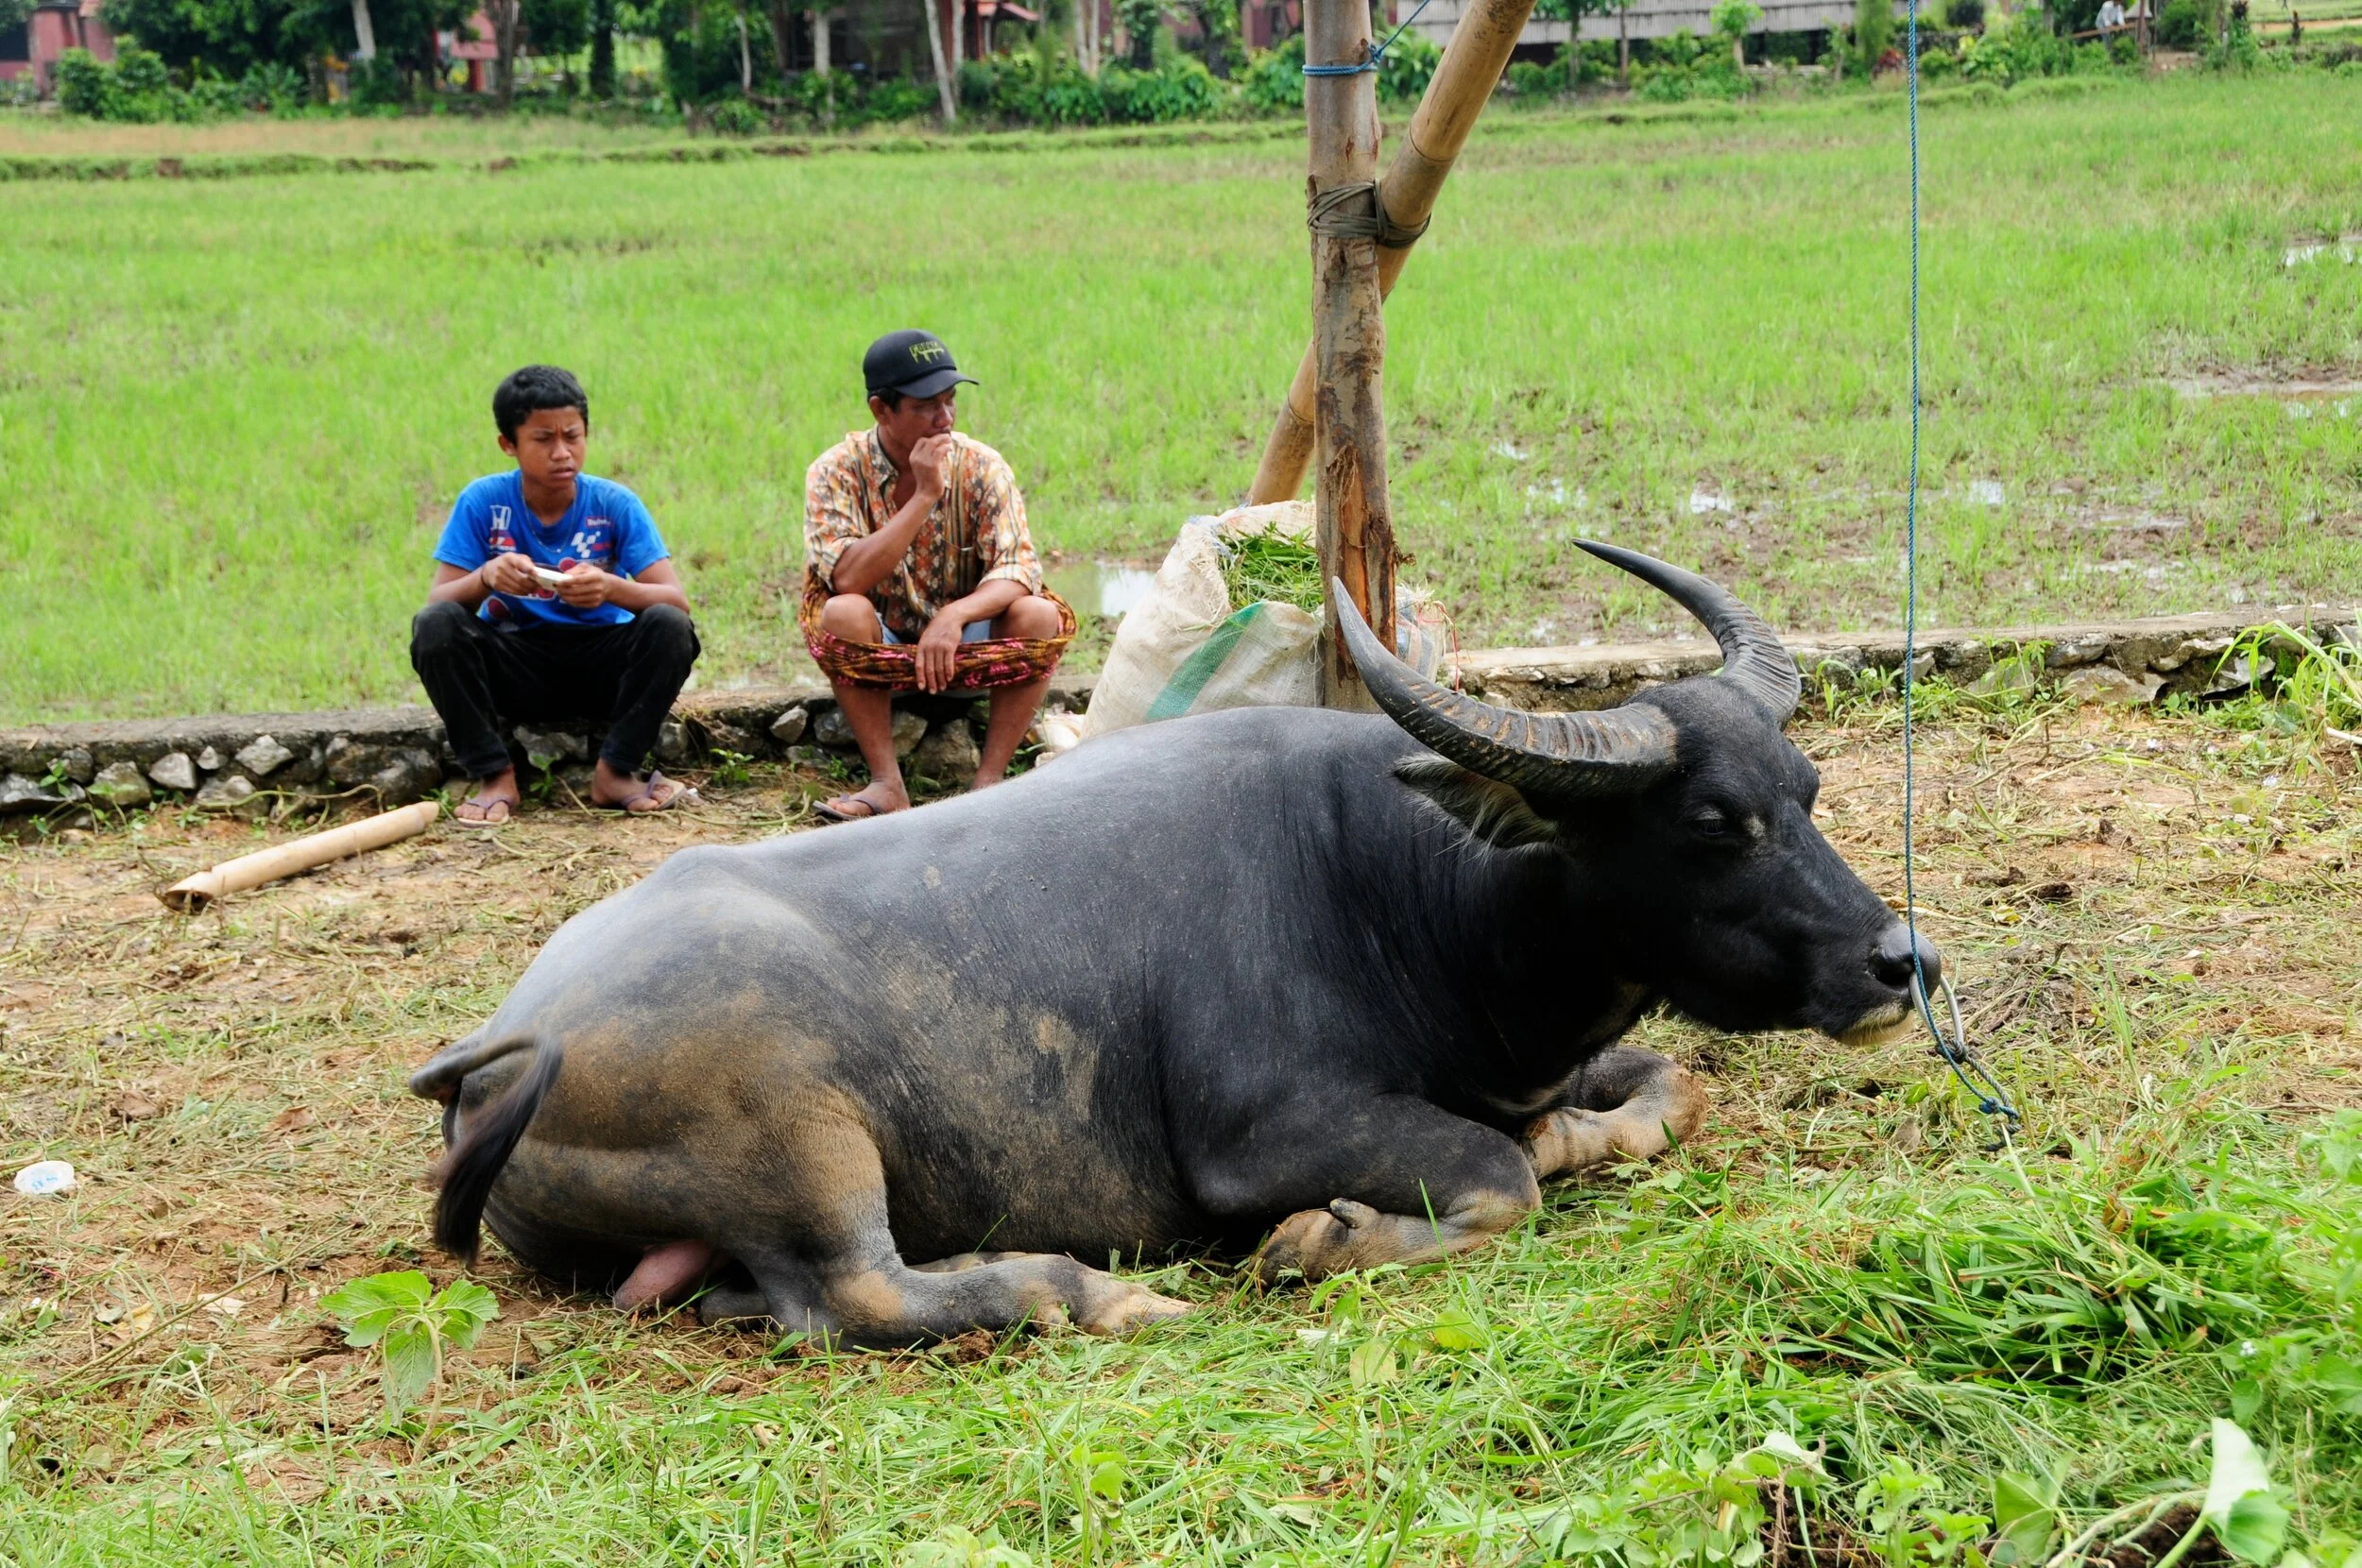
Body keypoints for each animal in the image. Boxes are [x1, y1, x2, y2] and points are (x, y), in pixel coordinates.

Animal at [410, 542, 1937, 1344]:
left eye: (1807, 789)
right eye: (1714, 823)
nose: (1897, 963)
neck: (1407, 894)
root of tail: (513, 1036)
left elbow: (1667, 1092)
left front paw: (1577, 1128)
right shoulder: (1259, 1135)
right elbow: (1499, 1177)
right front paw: (1318, 1240)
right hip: (805, 1133)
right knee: (859, 1290)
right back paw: (1105, 1294)